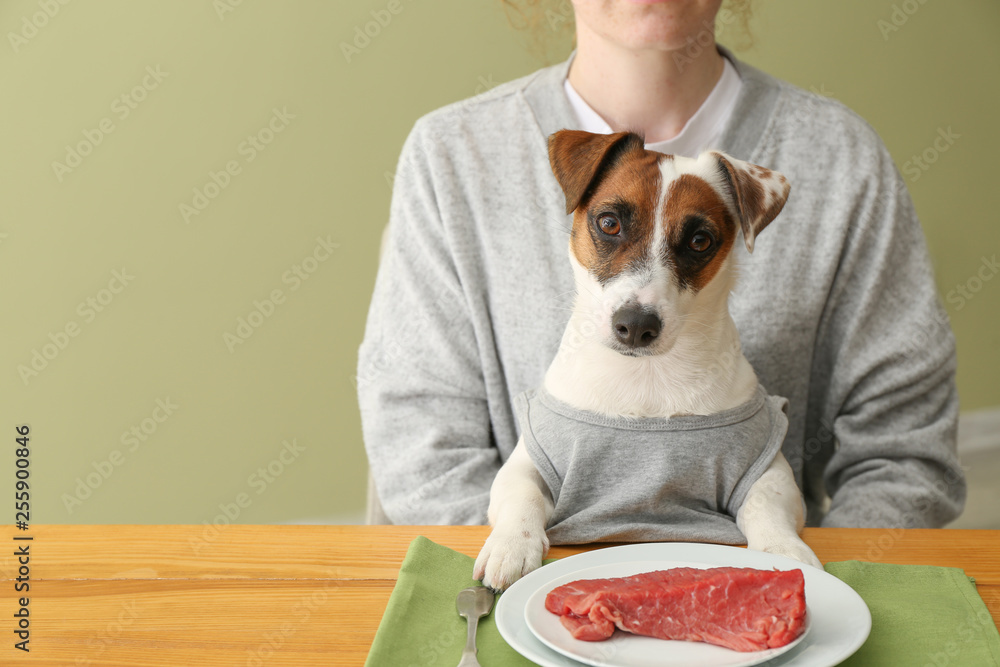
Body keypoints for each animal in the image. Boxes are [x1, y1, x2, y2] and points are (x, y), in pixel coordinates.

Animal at [472, 129, 824, 588]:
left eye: (699, 240)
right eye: (609, 223)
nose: (636, 325)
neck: (648, 376)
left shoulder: (768, 468)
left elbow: (767, 505)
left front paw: (784, 551)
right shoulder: (527, 462)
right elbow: (521, 495)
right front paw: (513, 545)